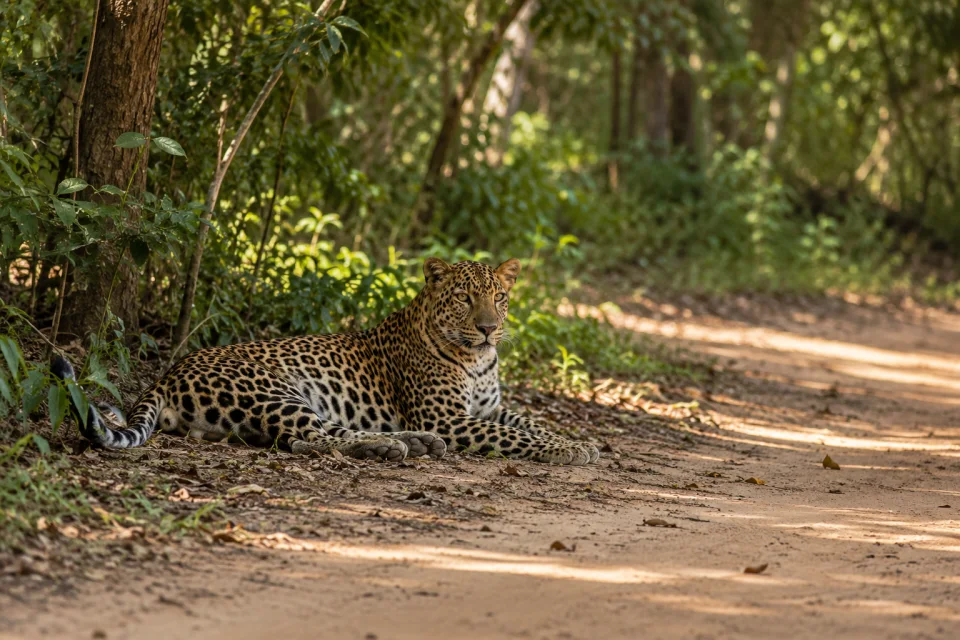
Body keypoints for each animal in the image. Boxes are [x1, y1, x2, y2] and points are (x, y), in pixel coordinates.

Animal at [52, 258, 599, 465]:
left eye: (499, 298)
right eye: (465, 298)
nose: (488, 328)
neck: (477, 360)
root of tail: (169, 374)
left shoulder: (489, 409)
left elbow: (530, 423)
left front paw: (580, 442)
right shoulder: (451, 417)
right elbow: (516, 437)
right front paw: (570, 451)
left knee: (311, 437)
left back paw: (411, 443)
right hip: (275, 391)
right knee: (310, 439)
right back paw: (394, 446)